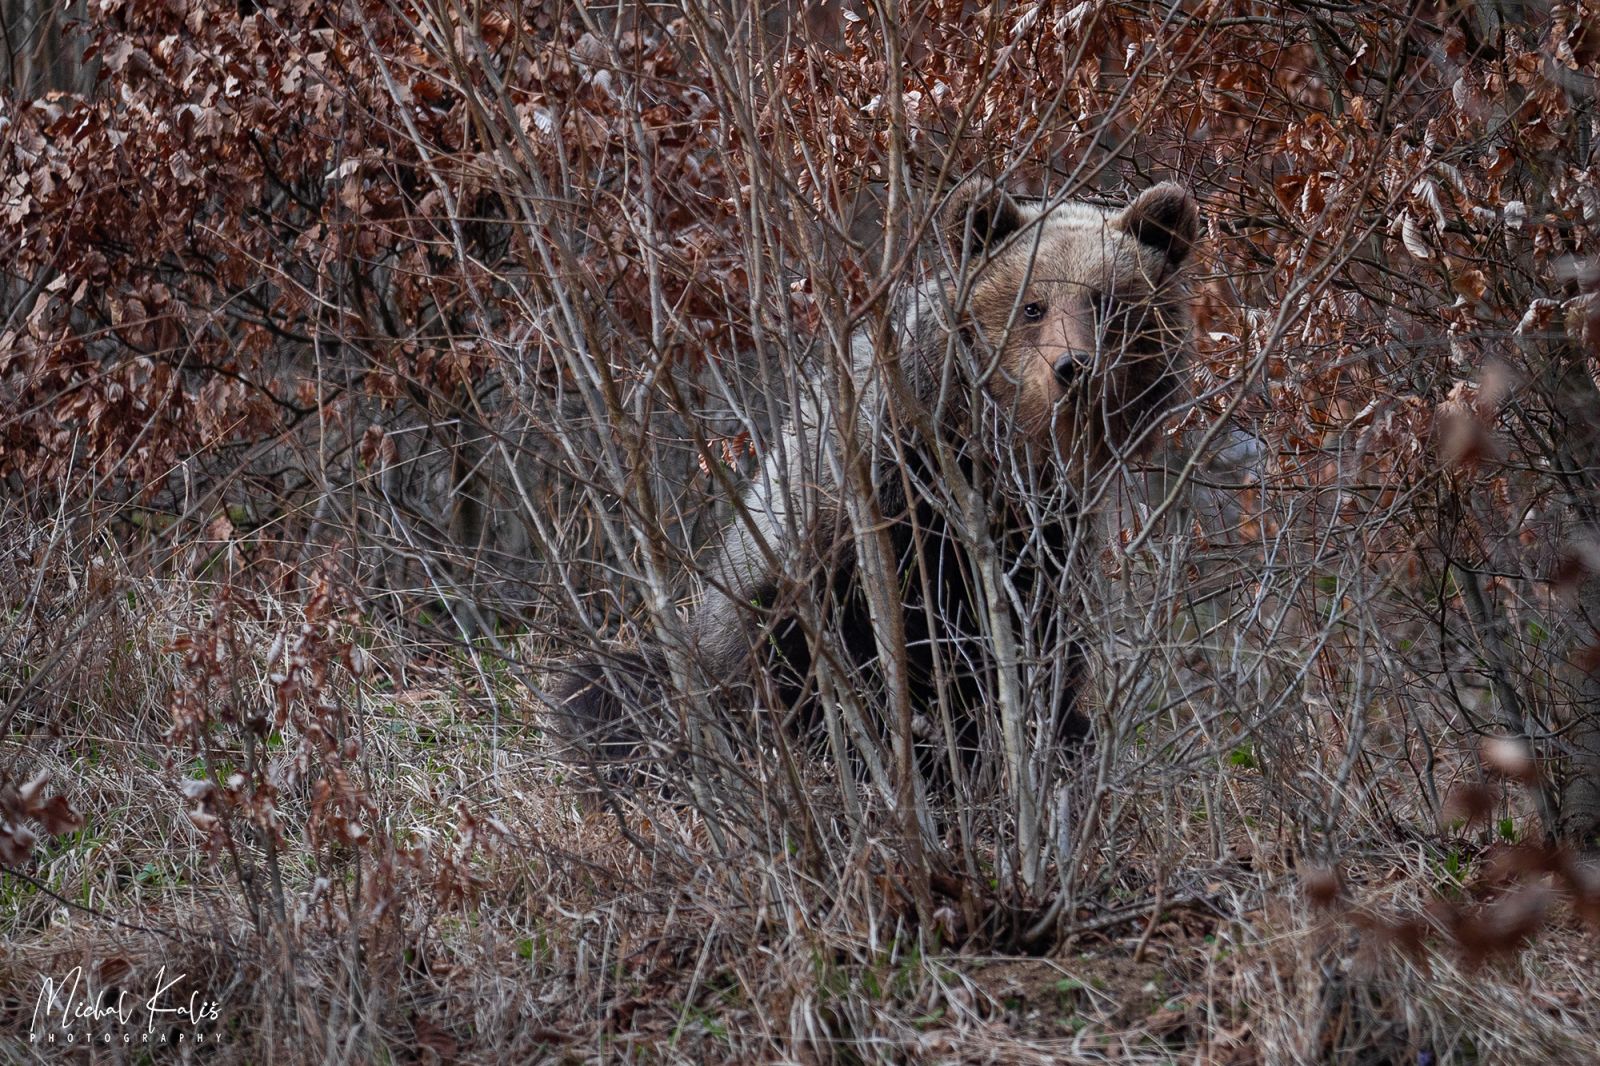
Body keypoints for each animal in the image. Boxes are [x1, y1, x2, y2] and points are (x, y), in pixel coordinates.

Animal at [556, 174, 1196, 784]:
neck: (996, 455)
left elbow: (1038, 633)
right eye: (1032, 306)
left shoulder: (1049, 532)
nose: (1074, 368)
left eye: (1108, 303)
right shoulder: (881, 500)